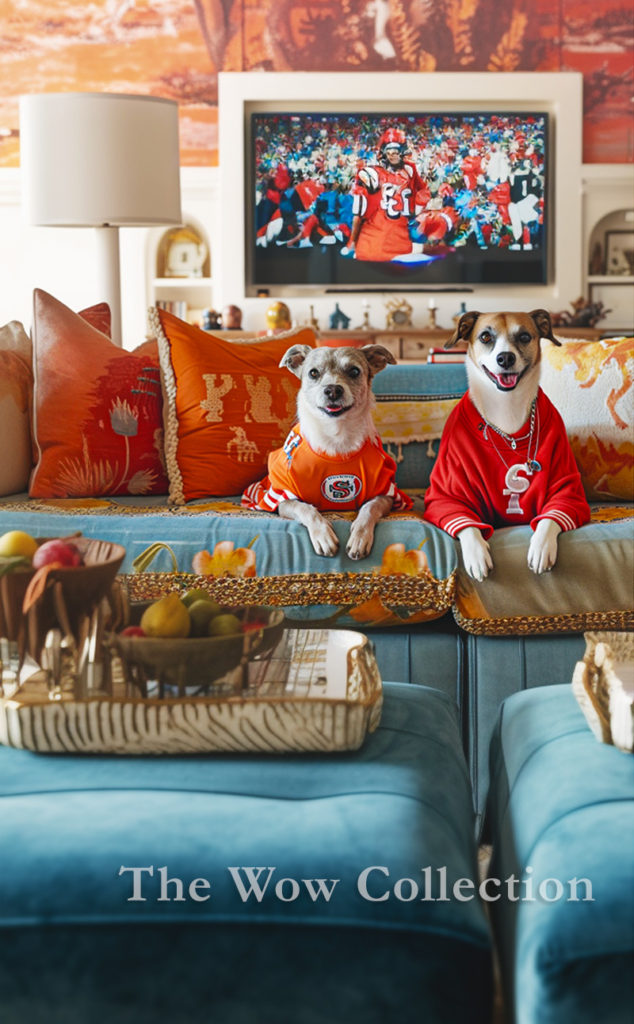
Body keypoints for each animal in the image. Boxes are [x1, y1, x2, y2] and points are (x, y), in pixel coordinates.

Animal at [241, 346, 411, 561]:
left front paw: (360, 537)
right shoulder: (283, 498)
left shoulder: (385, 493)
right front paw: (324, 536)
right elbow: (306, 508)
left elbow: (368, 509)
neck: (336, 434)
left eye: (354, 371)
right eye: (313, 373)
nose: (332, 389)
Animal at [424, 307, 594, 581]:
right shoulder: (447, 496)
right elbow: (467, 524)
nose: (505, 358)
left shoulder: (568, 489)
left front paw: (541, 547)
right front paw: (477, 555)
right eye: (485, 337)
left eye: (524, 336)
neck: (506, 409)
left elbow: (551, 517)